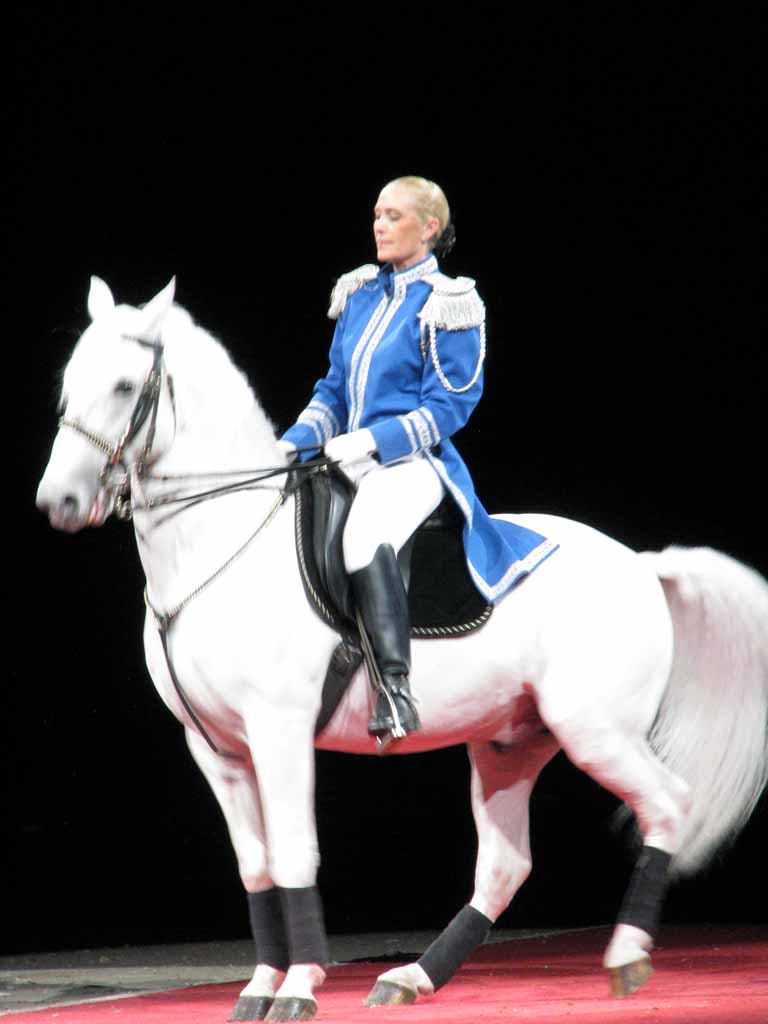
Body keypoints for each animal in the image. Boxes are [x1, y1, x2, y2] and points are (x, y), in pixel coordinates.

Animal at [36, 276, 768, 1019]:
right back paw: (412, 977)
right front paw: (260, 985)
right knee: (505, 865)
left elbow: (294, 852)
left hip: (597, 731)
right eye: (70, 383)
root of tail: (643, 563)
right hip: (510, 742)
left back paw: (624, 954)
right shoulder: (214, 748)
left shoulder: (279, 730)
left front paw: (298, 986)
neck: (222, 538)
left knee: (669, 804)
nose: (57, 502)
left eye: (125, 386)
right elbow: (257, 866)